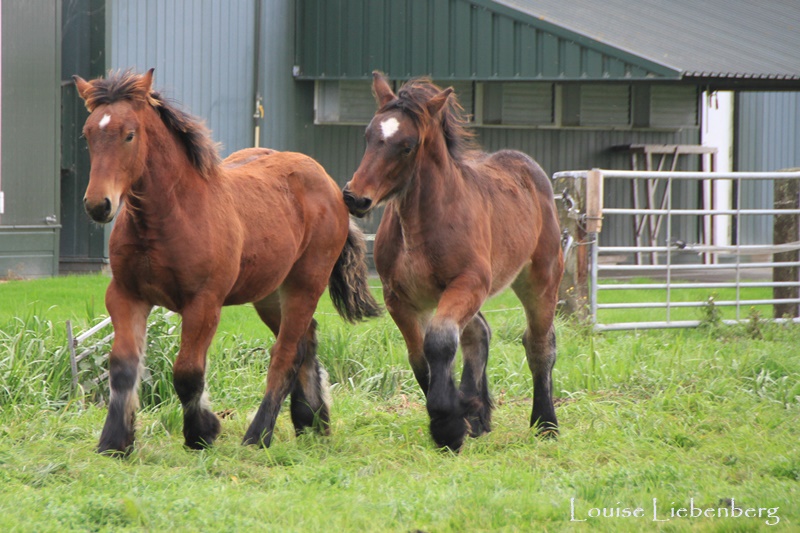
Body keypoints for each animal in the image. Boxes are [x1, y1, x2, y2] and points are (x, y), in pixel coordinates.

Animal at [73, 69, 381, 456]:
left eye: (129, 134)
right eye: (87, 134)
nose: (98, 205)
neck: (166, 217)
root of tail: (333, 187)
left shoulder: (203, 303)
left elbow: (188, 372)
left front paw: (201, 432)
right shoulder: (126, 296)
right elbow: (123, 366)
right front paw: (115, 441)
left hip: (305, 285)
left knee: (284, 354)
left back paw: (259, 435)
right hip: (269, 294)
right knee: (305, 343)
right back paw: (311, 423)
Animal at [343, 72, 564, 451]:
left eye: (407, 145)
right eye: (368, 136)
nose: (355, 197)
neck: (421, 227)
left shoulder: (467, 283)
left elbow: (441, 341)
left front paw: (448, 425)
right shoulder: (400, 298)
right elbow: (421, 359)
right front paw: (462, 415)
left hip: (540, 280)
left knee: (539, 344)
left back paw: (545, 423)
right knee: (479, 333)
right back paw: (478, 415)